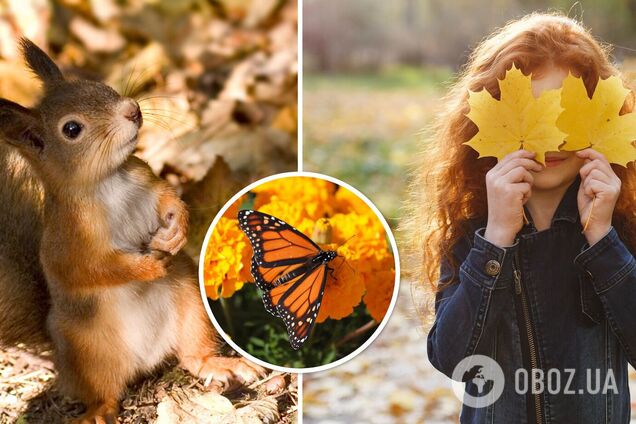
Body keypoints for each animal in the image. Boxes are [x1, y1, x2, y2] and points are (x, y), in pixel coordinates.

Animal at [0, 38, 264, 422]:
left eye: (99, 86)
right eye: (71, 129)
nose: (132, 110)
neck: (107, 180)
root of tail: (146, 361)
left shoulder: (145, 177)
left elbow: (167, 197)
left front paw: (177, 227)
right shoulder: (70, 240)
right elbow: (93, 268)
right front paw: (148, 266)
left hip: (191, 307)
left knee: (191, 354)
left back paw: (219, 364)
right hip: (87, 352)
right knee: (104, 392)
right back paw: (98, 411)